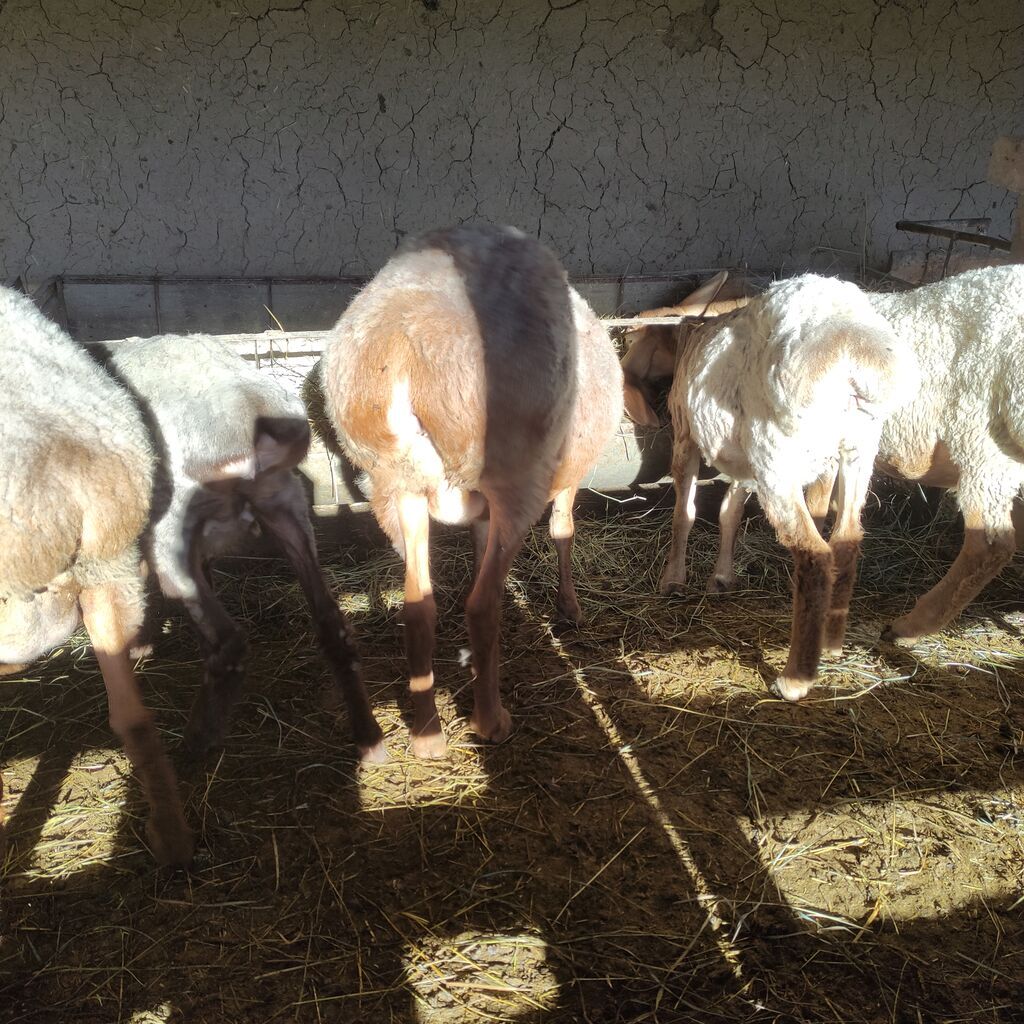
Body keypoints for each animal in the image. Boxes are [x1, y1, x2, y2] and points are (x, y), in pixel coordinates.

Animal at [98, 333, 387, 763]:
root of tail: (250, 412)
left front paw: (141, 641)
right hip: (285, 503)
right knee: (331, 621)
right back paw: (368, 735)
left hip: (173, 522)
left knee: (229, 641)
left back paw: (195, 744)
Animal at [319, 224, 622, 758]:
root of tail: (401, 347)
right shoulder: (563, 478)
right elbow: (563, 529)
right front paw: (569, 608)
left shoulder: (473, 509)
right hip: (514, 480)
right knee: (482, 606)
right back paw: (490, 720)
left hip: (395, 484)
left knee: (419, 606)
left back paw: (427, 735)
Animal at [629, 274, 918, 700]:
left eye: (637, 333)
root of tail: (853, 351)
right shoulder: (744, 463)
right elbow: (729, 512)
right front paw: (721, 578)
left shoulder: (686, 434)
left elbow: (686, 513)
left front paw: (673, 580)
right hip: (856, 448)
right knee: (847, 539)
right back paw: (831, 643)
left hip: (777, 453)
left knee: (815, 554)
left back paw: (796, 678)